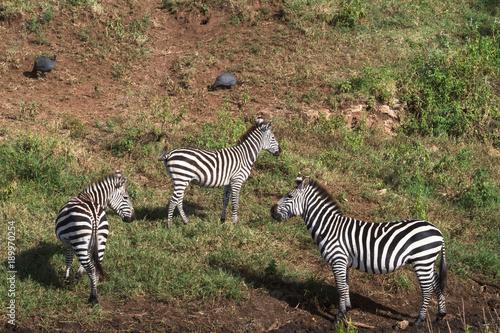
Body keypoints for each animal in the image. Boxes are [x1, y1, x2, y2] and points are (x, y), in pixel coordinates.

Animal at [55, 171, 135, 304]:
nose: (133, 218)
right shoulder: (87, 244)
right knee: (96, 266)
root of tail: (94, 213)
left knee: (91, 268)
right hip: (101, 239)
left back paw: (93, 297)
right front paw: (77, 276)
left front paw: (66, 278)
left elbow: (68, 258)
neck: (91, 197)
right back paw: (94, 290)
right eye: (125, 198)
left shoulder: (68, 242)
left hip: (81, 238)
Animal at [272, 172, 448, 326]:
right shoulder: (344, 262)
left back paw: (419, 320)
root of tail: (438, 231)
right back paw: (441, 315)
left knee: (427, 289)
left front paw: (339, 317)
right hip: (427, 262)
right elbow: (345, 285)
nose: (271, 211)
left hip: (422, 261)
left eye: (289, 196)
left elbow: (340, 288)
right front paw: (347, 309)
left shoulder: (338, 260)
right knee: (436, 281)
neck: (329, 228)